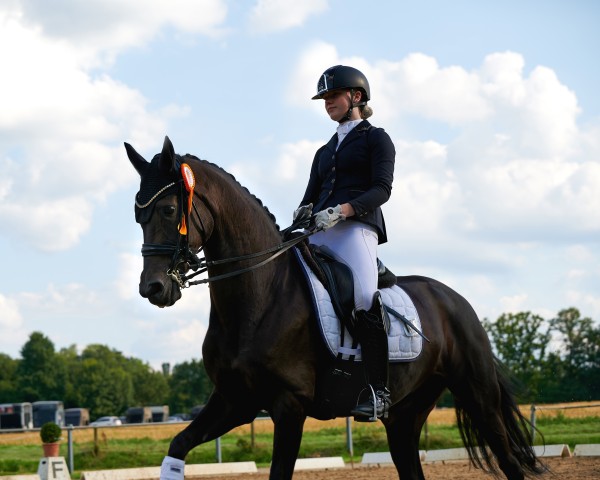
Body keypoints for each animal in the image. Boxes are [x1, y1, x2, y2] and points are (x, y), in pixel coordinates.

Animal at [125, 136, 544, 480]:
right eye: (137, 215)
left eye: (168, 210)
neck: (259, 298)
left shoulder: (289, 405)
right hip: (405, 415)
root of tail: (455, 300)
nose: (153, 288)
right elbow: (177, 446)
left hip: (478, 395)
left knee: (508, 459)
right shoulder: (235, 401)